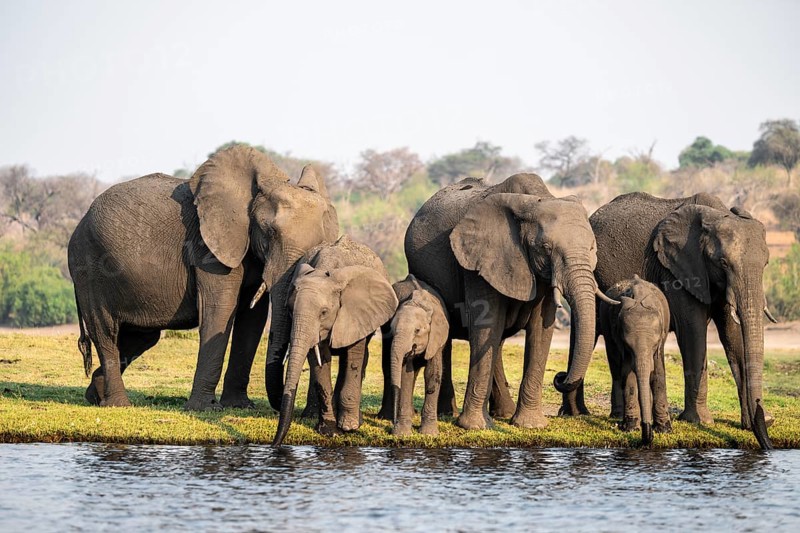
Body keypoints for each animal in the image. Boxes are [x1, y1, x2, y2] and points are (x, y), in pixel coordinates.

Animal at [68, 146, 337, 410]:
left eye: (318, 245)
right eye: (269, 231)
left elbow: (253, 318)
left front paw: (239, 406)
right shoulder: (207, 248)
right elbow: (220, 310)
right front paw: (204, 408)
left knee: (140, 337)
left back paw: (95, 395)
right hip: (89, 269)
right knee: (106, 332)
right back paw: (118, 405)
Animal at [272, 235, 398, 446]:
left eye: (324, 312)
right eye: (289, 310)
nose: (274, 446)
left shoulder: (355, 311)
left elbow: (354, 357)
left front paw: (349, 427)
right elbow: (319, 360)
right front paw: (330, 432)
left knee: (358, 358)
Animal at [386, 275, 450, 436]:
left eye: (417, 330)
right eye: (391, 329)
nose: (393, 424)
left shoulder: (437, 339)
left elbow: (432, 373)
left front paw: (429, 434)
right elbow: (405, 375)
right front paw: (401, 433)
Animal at [404, 173, 616, 430]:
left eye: (592, 247)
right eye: (546, 248)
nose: (560, 377)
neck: (534, 202)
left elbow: (540, 329)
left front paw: (530, 425)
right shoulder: (479, 262)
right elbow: (487, 325)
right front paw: (475, 427)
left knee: (497, 341)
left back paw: (502, 413)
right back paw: (449, 412)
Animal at [598, 275, 672, 445]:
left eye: (654, 344)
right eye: (628, 345)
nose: (648, 437)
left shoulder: (661, 339)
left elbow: (658, 373)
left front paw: (664, 429)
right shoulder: (619, 339)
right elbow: (628, 375)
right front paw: (631, 428)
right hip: (607, 331)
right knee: (616, 370)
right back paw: (619, 418)